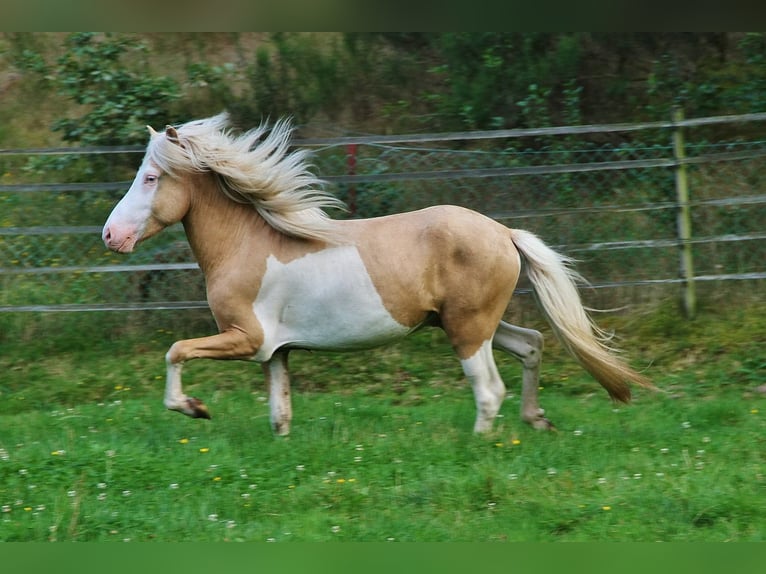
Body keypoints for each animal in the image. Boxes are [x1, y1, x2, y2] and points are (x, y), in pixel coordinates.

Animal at [102, 113, 652, 436]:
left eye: (150, 178)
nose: (111, 235)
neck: (247, 245)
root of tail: (503, 232)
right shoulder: (275, 352)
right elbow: (280, 414)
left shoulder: (246, 338)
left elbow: (175, 352)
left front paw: (193, 408)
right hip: (472, 323)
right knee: (532, 345)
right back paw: (536, 420)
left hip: (467, 329)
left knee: (489, 388)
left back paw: (481, 446)